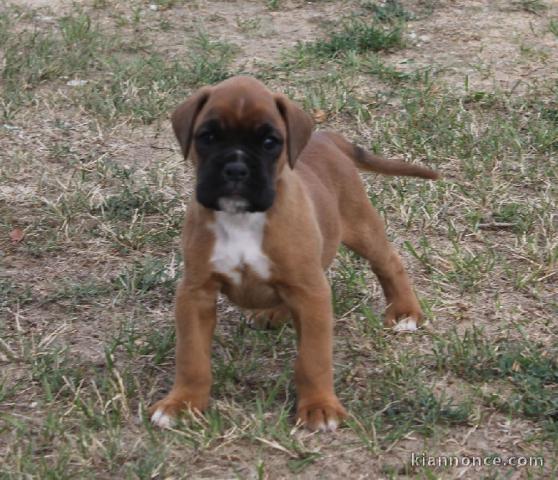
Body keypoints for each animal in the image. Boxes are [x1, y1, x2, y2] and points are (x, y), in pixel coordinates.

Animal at [150, 76, 442, 432]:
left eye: (269, 141)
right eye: (207, 137)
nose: (235, 168)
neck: (241, 218)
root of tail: (328, 139)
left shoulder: (311, 292)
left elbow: (313, 358)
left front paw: (320, 406)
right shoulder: (196, 293)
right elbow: (191, 357)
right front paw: (183, 403)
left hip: (361, 228)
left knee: (388, 262)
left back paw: (404, 311)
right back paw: (273, 313)